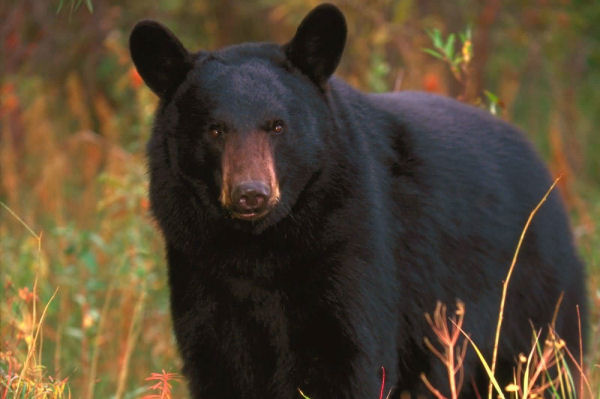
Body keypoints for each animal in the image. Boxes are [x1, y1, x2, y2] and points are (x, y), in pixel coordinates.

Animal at [130, 3, 584, 399]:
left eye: (277, 126)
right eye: (215, 129)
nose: (250, 193)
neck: (259, 247)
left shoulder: (349, 240)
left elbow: (346, 357)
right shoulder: (200, 264)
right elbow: (218, 362)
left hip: (533, 300)